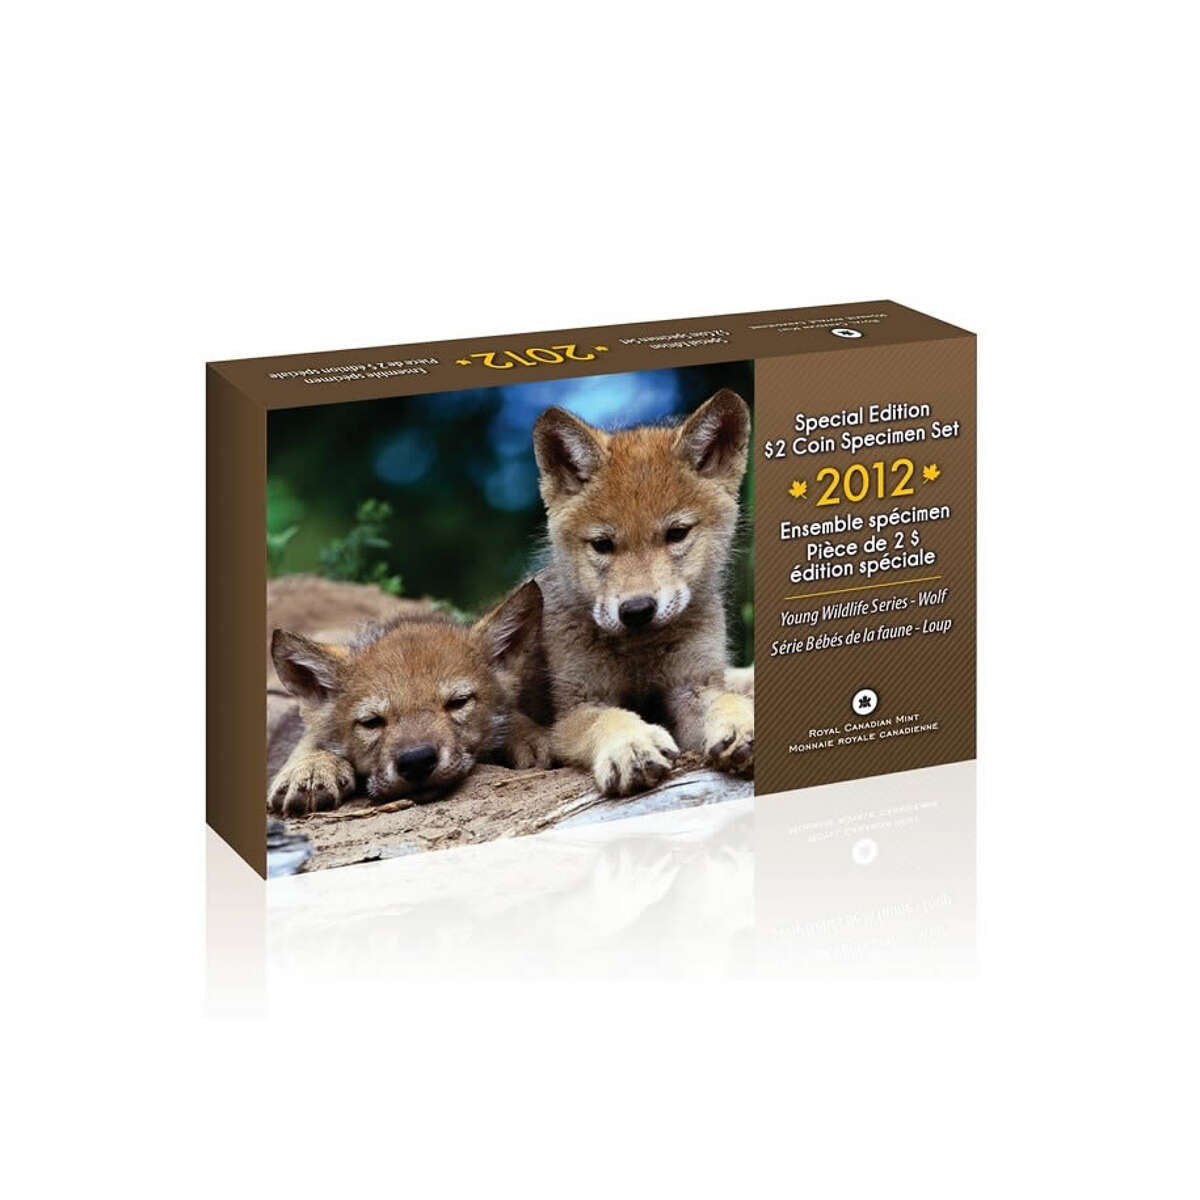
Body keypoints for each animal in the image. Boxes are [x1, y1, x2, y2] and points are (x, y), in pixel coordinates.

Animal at [268, 579, 549, 815]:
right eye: (371, 722)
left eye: (458, 703)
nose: (417, 762)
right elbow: (311, 740)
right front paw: (309, 770)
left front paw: (529, 737)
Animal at [532, 388, 754, 796]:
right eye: (602, 544)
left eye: (676, 534)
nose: (637, 610)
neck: (639, 650)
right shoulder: (577, 706)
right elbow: (609, 718)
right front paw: (632, 747)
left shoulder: (692, 683)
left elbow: (725, 697)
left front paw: (740, 724)